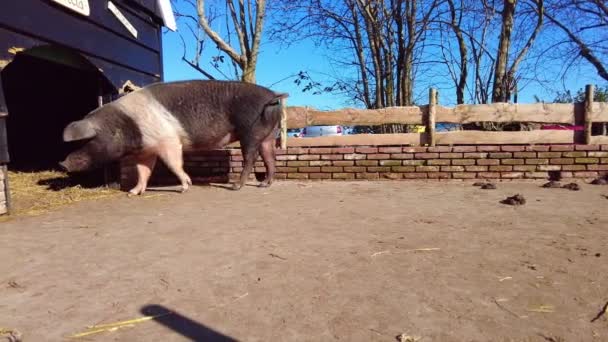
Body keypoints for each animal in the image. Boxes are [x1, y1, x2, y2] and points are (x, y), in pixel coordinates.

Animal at [59, 80, 288, 195]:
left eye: (86, 141)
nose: (62, 163)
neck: (127, 125)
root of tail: (272, 95)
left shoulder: (168, 141)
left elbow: (174, 164)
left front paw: (185, 187)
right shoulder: (146, 150)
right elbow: (143, 171)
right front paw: (133, 192)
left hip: (249, 130)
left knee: (251, 157)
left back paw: (236, 187)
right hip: (269, 134)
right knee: (270, 157)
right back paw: (264, 185)